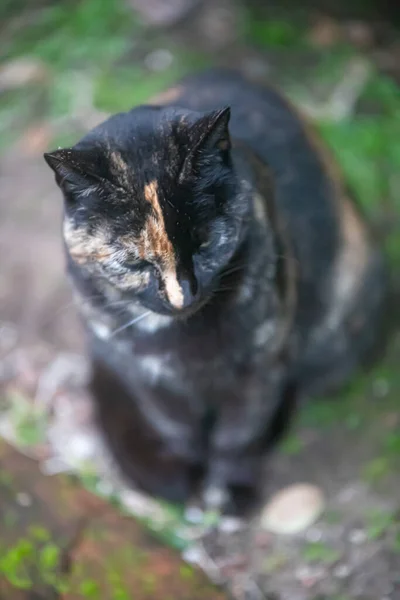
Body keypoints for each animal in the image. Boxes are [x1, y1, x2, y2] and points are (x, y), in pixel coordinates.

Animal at [44, 67, 388, 516]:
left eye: (205, 244)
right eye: (135, 262)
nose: (183, 295)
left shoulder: (261, 368)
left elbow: (238, 437)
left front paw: (231, 491)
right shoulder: (150, 381)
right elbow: (179, 431)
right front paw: (190, 477)